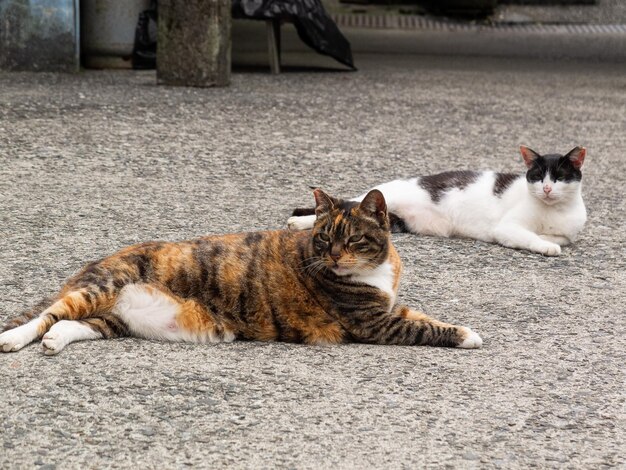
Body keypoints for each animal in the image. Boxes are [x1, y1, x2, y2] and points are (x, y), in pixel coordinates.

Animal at [0, 189, 482, 354]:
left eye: (352, 239)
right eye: (324, 237)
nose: (333, 257)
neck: (378, 270)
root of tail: (98, 259)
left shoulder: (388, 308)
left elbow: (421, 315)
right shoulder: (374, 322)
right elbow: (425, 326)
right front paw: (467, 335)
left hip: (115, 318)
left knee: (72, 325)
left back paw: (55, 341)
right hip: (102, 287)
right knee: (48, 314)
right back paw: (14, 339)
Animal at [288, 147, 584, 258]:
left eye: (559, 177)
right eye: (538, 177)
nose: (547, 188)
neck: (551, 211)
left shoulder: (566, 233)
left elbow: (557, 238)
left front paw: (549, 241)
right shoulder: (507, 227)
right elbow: (530, 237)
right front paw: (546, 247)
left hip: (394, 221)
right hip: (381, 198)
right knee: (339, 207)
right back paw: (298, 222)